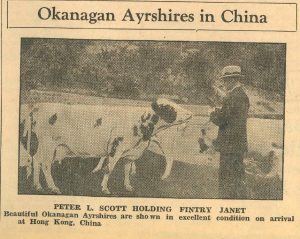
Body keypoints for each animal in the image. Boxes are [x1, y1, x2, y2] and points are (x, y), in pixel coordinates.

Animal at [19, 98, 192, 194]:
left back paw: (37, 186)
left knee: (36, 160)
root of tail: (38, 106)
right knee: (45, 164)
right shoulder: (116, 147)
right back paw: (53, 187)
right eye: (169, 107)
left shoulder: (131, 153)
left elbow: (127, 170)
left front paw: (128, 186)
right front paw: (104, 188)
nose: (190, 114)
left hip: (44, 146)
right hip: (49, 144)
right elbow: (109, 169)